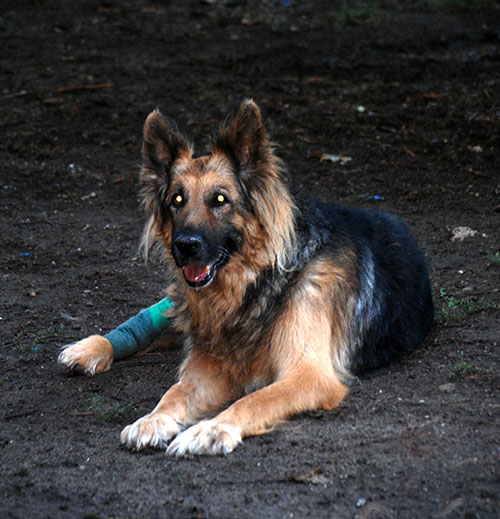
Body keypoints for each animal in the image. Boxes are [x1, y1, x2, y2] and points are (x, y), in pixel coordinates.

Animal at [58, 99, 434, 456]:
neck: (254, 284)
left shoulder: (309, 374)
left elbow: (254, 399)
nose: (185, 246)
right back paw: (91, 348)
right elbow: (175, 392)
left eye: (220, 199)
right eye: (177, 199)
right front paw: (153, 419)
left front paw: (211, 429)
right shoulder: (210, 364)